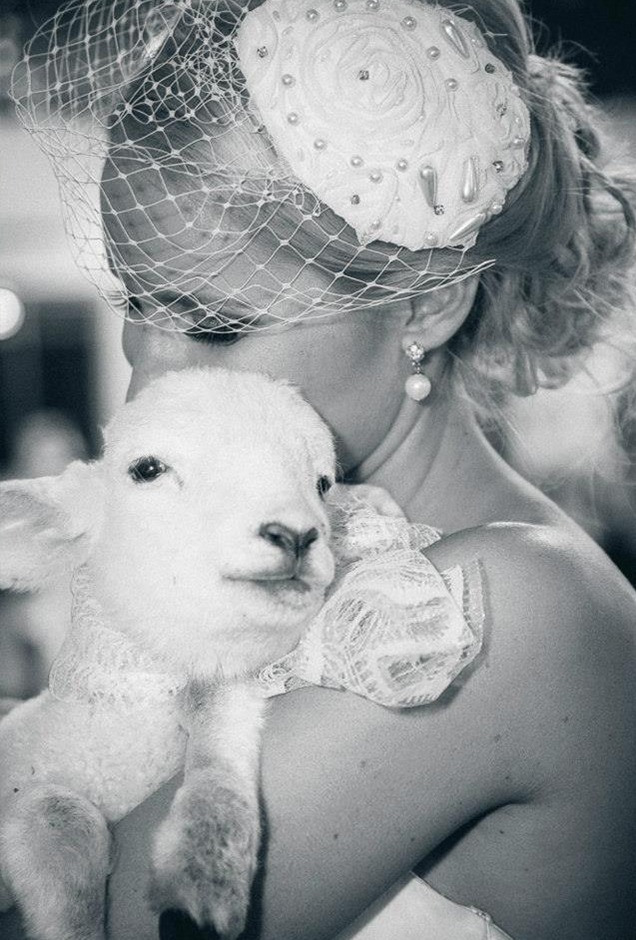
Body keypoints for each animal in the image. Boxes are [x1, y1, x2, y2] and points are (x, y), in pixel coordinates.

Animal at [0, 368, 404, 940]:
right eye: (147, 469)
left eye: (322, 484)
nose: (295, 534)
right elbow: (59, 818)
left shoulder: (221, 689)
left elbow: (217, 769)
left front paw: (201, 885)